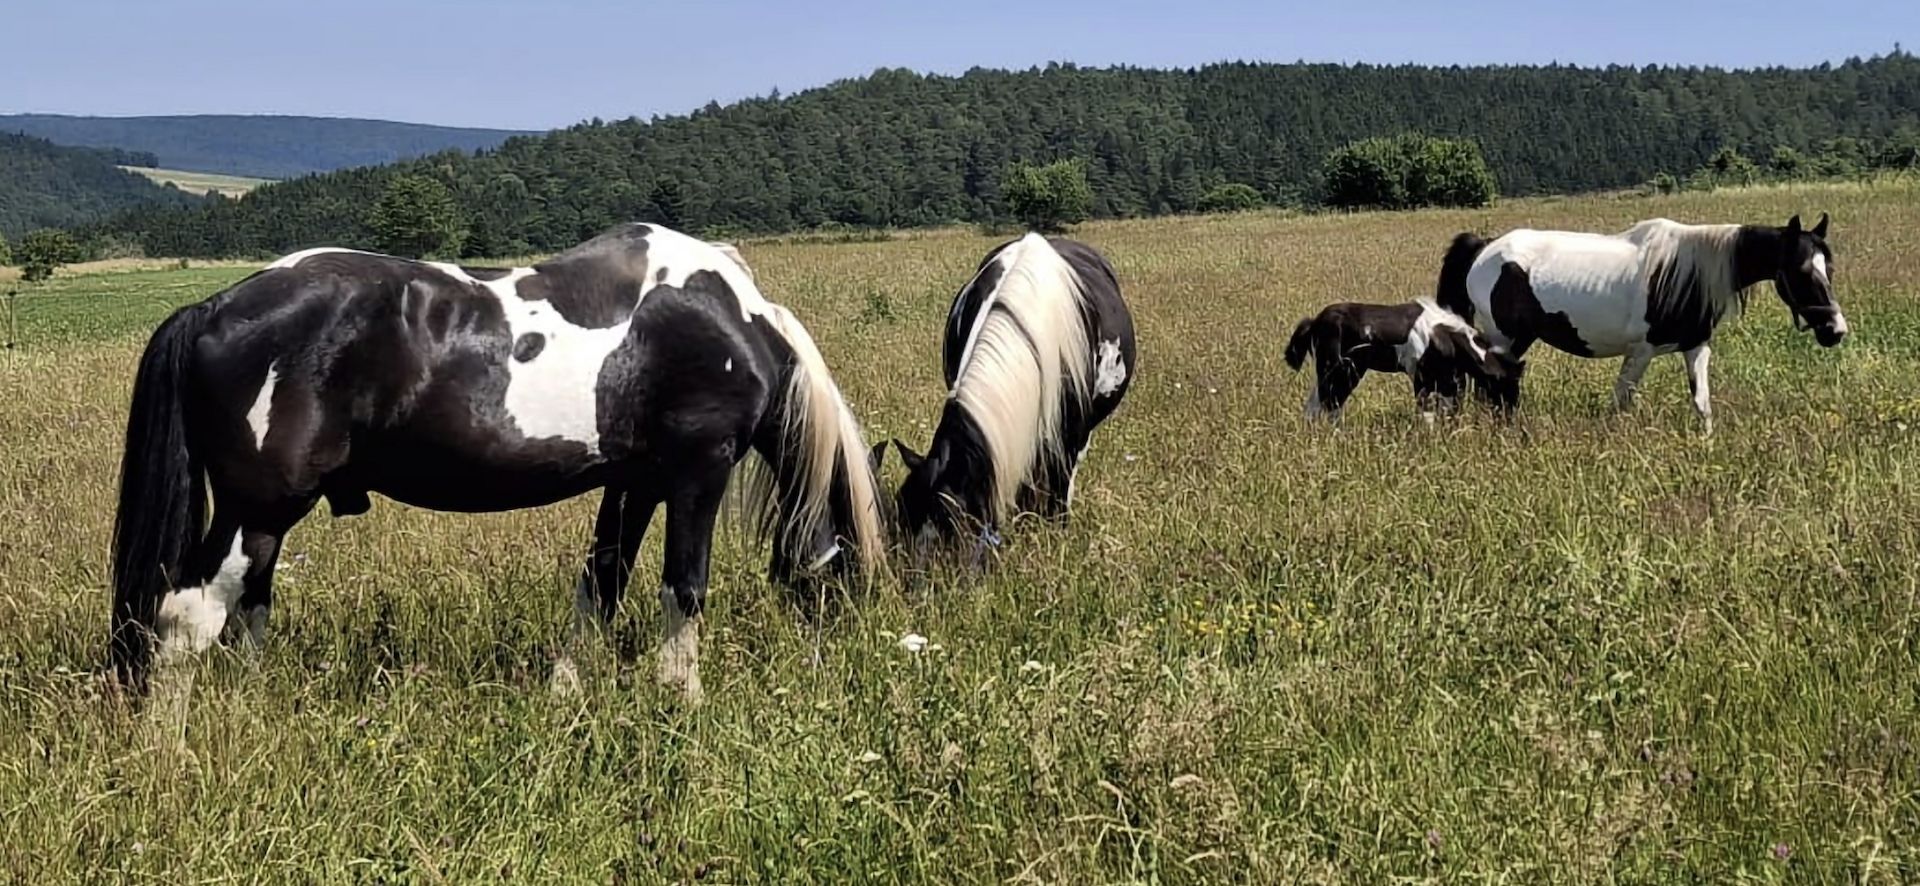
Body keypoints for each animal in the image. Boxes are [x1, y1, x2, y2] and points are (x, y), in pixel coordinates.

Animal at [107, 222, 886, 700]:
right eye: (850, 575)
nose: (850, 655)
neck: (725, 317)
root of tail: (214, 308)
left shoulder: (635, 480)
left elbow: (601, 583)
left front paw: (566, 690)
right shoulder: (700, 469)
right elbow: (683, 587)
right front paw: (682, 695)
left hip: (265, 522)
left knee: (249, 614)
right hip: (258, 508)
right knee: (188, 617)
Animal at [1284, 298, 1524, 423]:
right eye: (1504, 387)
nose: (1509, 420)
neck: (1444, 335)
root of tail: (1315, 321)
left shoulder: (1446, 379)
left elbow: (1449, 408)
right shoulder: (1420, 377)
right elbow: (1427, 412)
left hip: (1346, 371)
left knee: (1325, 403)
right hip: (1336, 369)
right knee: (1324, 403)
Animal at [1436, 213, 1847, 432]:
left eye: (1829, 268)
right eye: (1802, 271)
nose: (1836, 330)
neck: (1687, 272)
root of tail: (1484, 246)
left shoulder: (1696, 347)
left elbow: (1702, 402)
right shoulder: (1641, 352)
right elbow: (1621, 402)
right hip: (1505, 339)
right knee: (1492, 387)